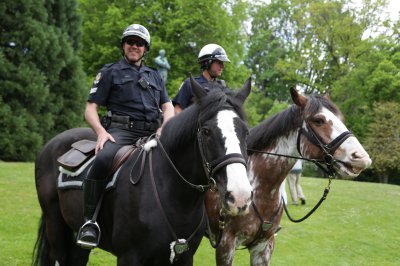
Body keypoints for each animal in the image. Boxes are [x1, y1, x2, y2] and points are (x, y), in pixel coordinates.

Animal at [206, 88, 372, 266]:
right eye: (318, 120)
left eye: (341, 119)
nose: (361, 158)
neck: (260, 191)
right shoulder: (225, 246)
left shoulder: (264, 247)